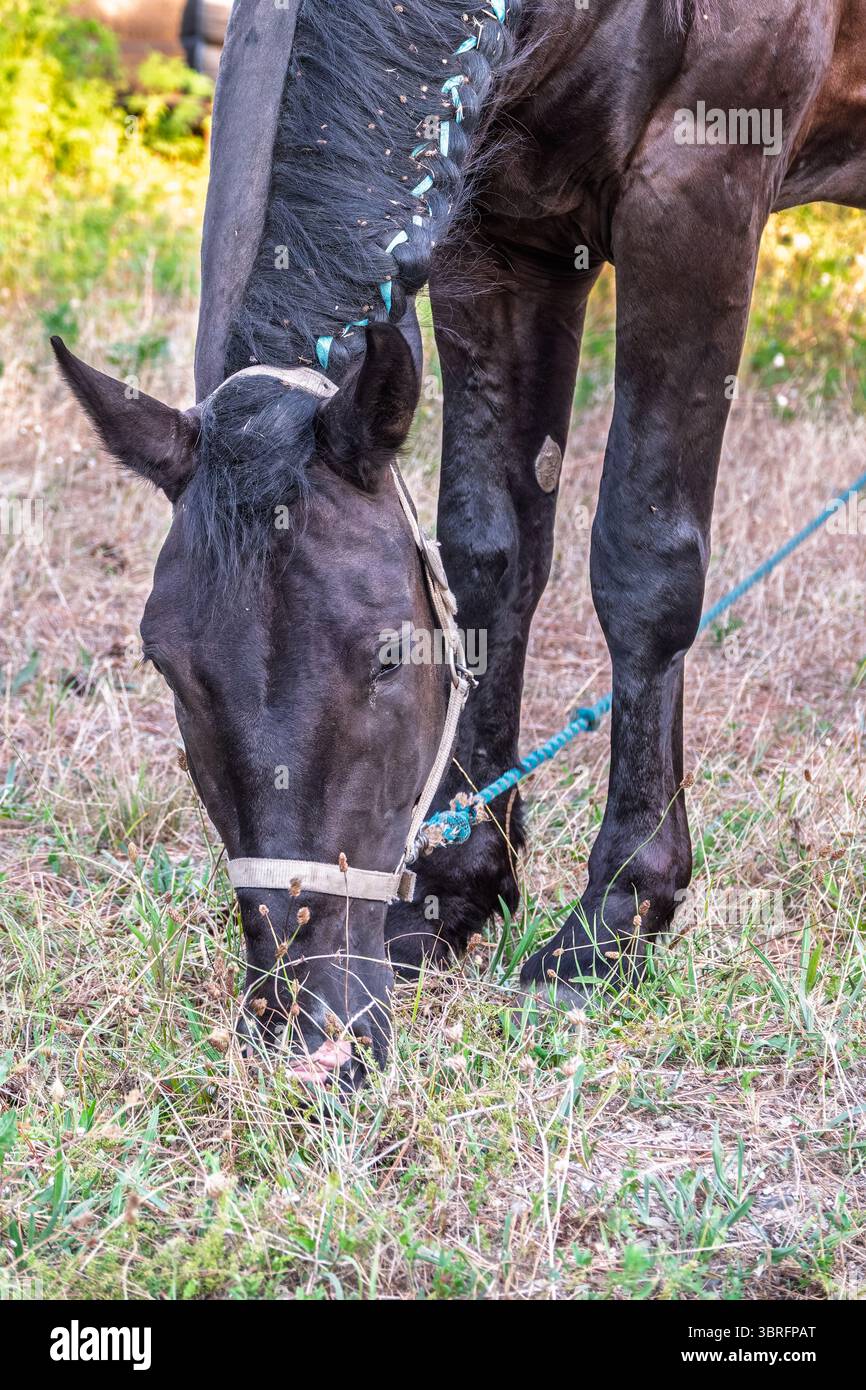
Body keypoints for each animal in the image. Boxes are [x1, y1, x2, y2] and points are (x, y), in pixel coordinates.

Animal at [54, 0, 866, 1087]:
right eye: (167, 667)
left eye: (388, 660)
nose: (307, 1035)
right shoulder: (501, 239)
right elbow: (489, 552)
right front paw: (458, 881)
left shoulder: (697, 191)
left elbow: (644, 565)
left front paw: (611, 918)